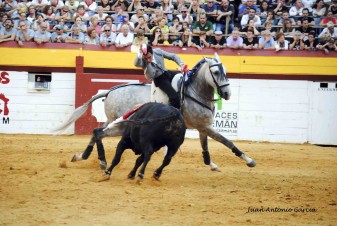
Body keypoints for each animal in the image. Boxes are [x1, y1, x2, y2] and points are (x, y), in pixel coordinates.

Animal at [57, 52, 256, 170]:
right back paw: (101, 160)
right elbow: (226, 141)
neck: (194, 91)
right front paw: (249, 160)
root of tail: (110, 91)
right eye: (215, 73)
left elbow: (205, 147)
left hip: (113, 121)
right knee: (98, 133)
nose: (227, 93)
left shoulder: (203, 127)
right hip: (120, 124)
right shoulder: (204, 126)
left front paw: (212, 164)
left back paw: (82, 156)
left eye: (226, 71)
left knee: (96, 132)